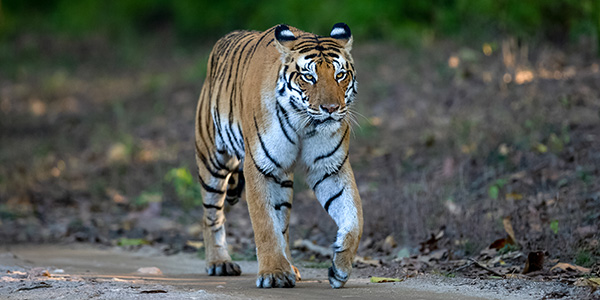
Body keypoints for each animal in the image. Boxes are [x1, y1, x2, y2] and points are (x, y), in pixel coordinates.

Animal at [196, 22, 360, 288]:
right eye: (309, 77)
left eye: (340, 75)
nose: (331, 109)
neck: (304, 123)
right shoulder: (259, 167)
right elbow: (264, 224)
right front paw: (273, 273)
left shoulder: (330, 168)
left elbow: (354, 218)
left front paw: (340, 270)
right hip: (212, 162)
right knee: (211, 215)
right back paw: (220, 263)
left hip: (282, 180)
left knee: (282, 224)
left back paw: (290, 266)